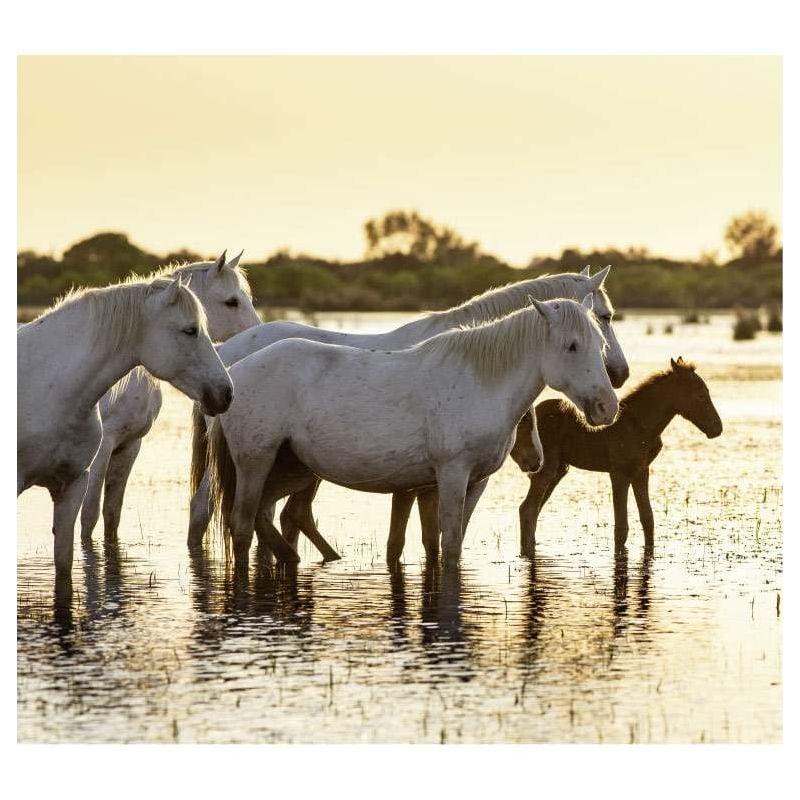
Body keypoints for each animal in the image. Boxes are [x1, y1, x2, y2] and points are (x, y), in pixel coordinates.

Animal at [79, 250, 260, 541]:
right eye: (231, 302)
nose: (260, 332)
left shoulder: (129, 445)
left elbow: (112, 513)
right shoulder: (103, 446)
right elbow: (89, 514)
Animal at [188, 265, 628, 556]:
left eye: (601, 327)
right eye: (577, 342)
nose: (611, 397)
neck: (478, 378)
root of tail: (232, 366)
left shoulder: (440, 482)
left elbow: (427, 542)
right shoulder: (448, 477)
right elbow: (442, 545)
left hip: (292, 469)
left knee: (268, 518)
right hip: (254, 462)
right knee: (233, 519)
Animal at [509, 357, 723, 554]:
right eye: (700, 395)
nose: (717, 428)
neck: (643, 425)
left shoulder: (641, 471)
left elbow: (648, 519)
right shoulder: (619, 473)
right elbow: (621, 528)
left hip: (559, 469)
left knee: (532, 510)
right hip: (547, 467)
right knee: (528, 509)